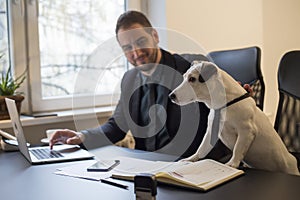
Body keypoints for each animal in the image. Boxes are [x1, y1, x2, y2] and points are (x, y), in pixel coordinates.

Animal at [170, 60, 298, 175]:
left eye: (192, 79)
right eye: (184, 77)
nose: (171, 96)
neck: (225, 104)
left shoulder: (246, 131)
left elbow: (238, 148)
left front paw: (232, 164)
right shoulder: (211, 131)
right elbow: (202, 148)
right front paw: (191, 159)